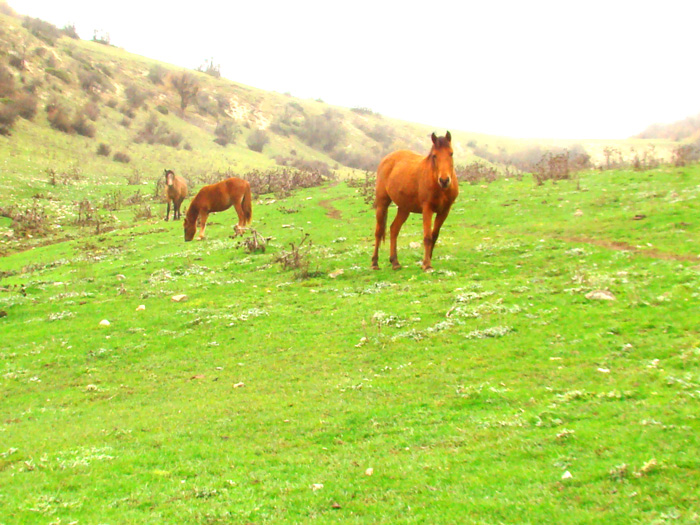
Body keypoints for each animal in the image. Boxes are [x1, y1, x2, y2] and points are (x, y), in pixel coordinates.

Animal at [372, 130, 460, 270]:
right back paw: (375, 263)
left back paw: (395, 262)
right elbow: (427, 237)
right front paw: (426, 264)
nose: (444, 180)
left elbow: (434, 235)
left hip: (404, 209)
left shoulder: (444, 211)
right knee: (379, 231)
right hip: (382, 203)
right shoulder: (427, 209)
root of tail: (386, 159)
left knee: (394, 229)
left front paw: (427, 260)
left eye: (451, 153)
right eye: (434, 156)